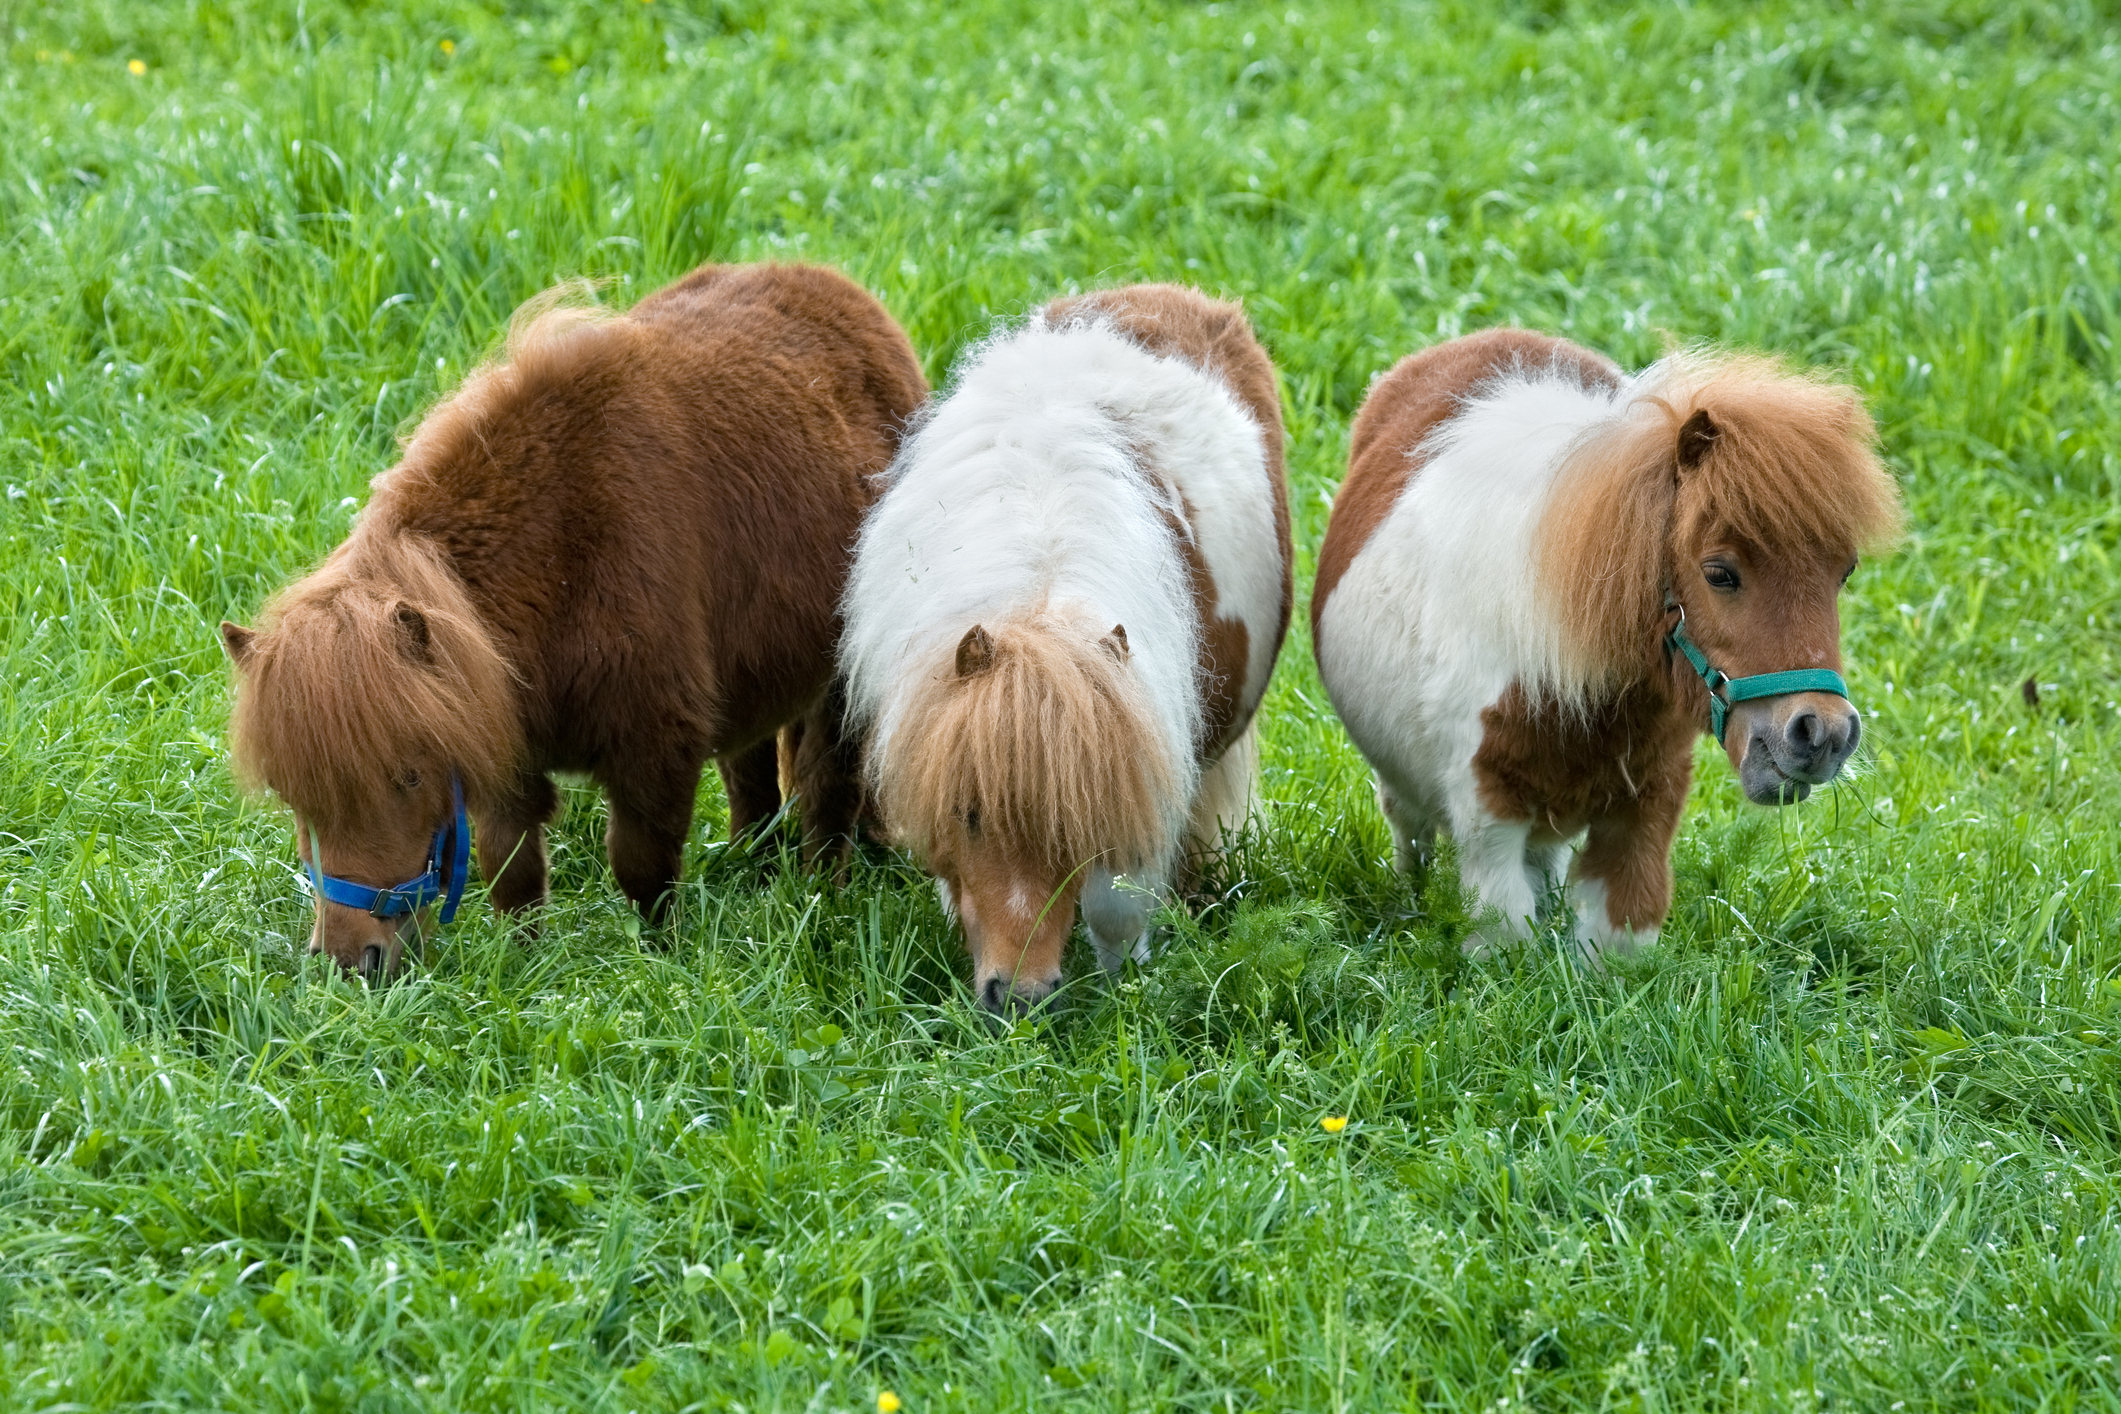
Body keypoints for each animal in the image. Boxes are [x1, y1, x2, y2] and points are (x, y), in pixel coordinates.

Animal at [220, 263, 927, 977]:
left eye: (408, 776)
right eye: (290, 795)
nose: (349, 961)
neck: (559, 554)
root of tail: (843, 294)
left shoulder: (654, 751)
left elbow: (643, 870)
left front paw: (662, 965)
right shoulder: (503, 755)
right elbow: (512, 872)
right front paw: (523, 970)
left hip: (840, 684)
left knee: (826, 785)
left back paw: (823, 897)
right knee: (752, 779)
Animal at [842, 284, 1292, 1013]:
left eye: (1077, 826)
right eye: (970, 815)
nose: (1020, 997)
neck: (1040, 587)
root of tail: (1170, 296)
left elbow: (1117, 904)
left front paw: (1127, 987)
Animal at [1311, 329, 1904, 955]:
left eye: (1844, 572)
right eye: (1719, 573)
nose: (1823, 734)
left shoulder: (1645, 809)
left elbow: (1619, 934)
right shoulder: (1488, 812)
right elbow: (1505, 935)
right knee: (1411, 834)